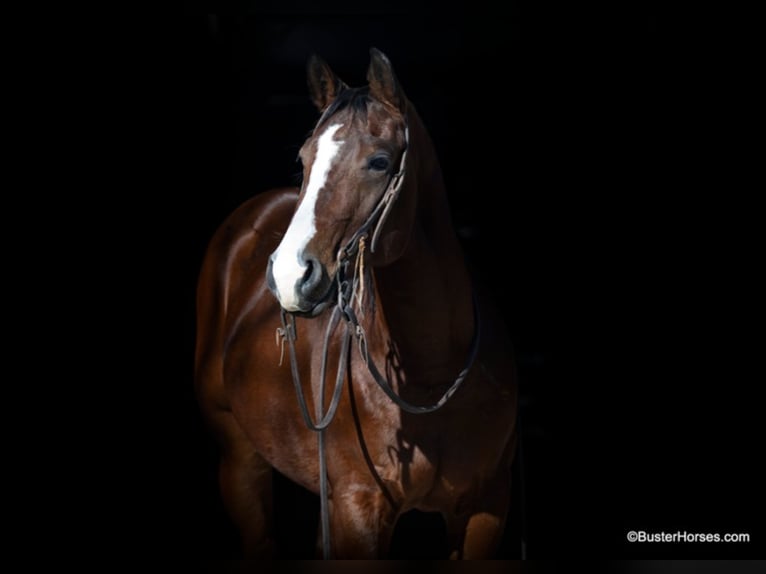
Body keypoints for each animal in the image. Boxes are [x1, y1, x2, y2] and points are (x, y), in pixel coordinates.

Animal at [195, 49, 520, 564]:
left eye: (380, 161)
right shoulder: (358, 509)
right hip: (239, 463)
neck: (432, 376)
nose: (290, 275)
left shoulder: (486, 509)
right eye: (304, 159)